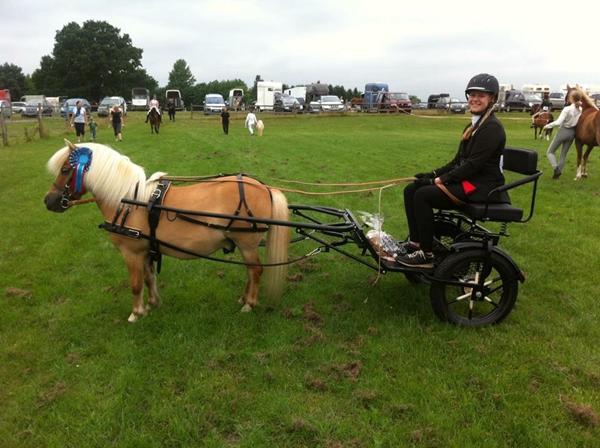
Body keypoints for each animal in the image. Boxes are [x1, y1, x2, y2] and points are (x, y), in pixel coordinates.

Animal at [43, 142, 290, 320]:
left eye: (65, 169)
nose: (49, 201)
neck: (129, 202)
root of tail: (265, 187)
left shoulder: (131, 252)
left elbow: (136, 284)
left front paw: (136, 313)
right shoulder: (145, 250)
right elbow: (149, 278)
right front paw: (153, 303)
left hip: (247, 244)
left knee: (255, 271)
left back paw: (249, 304)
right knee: (250, 272)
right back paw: (243, 298)